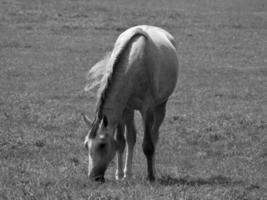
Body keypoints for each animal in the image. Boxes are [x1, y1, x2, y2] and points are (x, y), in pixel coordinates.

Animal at [83, 24, 180, 181]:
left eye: (102, 145)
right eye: (86, 145)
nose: (94, 177)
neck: (133, 63)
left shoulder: (147, 109)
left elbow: (148, 145)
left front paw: (150, 176)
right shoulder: (124, 108)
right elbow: (121, 141)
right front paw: (120, 174)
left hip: (160, 106)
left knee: (155, 136)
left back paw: (153, 170)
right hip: (131, 110)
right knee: (131, 137)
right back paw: (127, 173)